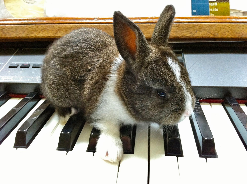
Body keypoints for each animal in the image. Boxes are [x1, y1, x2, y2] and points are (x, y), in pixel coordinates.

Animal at [40, 4, 196, 163]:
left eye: (187, 78)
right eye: (161, 93)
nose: (188, 112)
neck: (122, 91)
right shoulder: (100, 110)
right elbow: (109, 127)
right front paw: (111, 152)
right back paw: (67, 116)